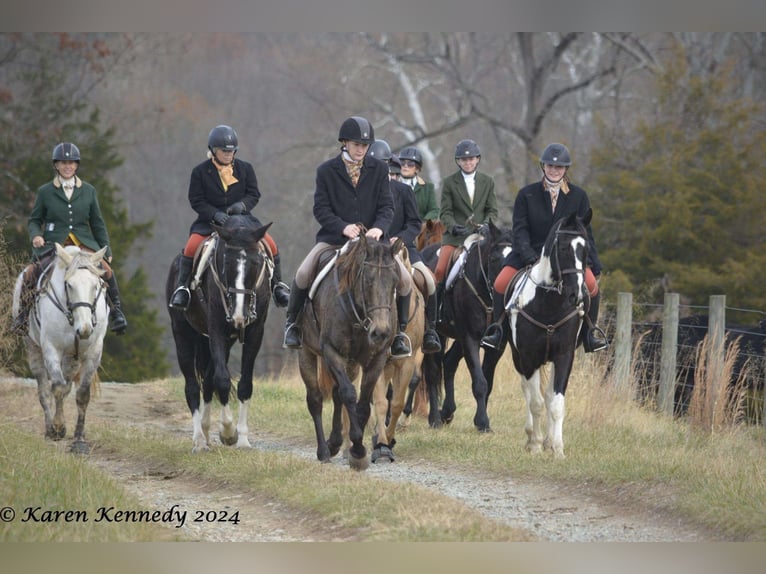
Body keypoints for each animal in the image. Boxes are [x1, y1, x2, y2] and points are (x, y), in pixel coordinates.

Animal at [12, 243, 109, 454]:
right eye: (69, 285)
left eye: (95, 285)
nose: (85, 329)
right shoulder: (51, 348)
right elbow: (56, 388)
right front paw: (57, 427)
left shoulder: (93, 352)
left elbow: (82, 395)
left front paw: (79, 440)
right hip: (33, 348)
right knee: (44, 390)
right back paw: (50, 428)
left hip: (71, 359)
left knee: (67, 387)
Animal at [166, 216, 274, 454]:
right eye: (226, 263)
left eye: (256, 263)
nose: (239, 314)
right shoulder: (216, 329)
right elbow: (222, 381)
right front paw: (228, 432)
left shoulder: (255, 332)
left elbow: (244, 384)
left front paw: (242, 439)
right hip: (182, 334)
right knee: (192, 386)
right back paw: (198, 439)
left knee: (207, 381)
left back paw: (205, 433)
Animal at [296, 236, 402, 470]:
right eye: (367, 281)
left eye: (395, 282)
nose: (380, 332)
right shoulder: (332, 352)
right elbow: (349, 395)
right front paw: (358, 449)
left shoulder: (376, 359)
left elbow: (362, 403)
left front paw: (357, 450)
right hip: (306, 353)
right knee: (315, 400)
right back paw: (324, 451)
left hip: (351, 364)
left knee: (337, 396)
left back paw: (335, 443)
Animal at [420, 223, 516, 434]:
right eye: (494, 258)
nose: (504, 290)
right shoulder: (470, 338)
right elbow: (479, 382)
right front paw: (482, 422)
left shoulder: (496, 345)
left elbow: (487, 381)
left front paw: (482, 421)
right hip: (435, 334)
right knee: (432, 372)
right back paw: (435, 419)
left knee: (448, 362)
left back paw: (447, 412)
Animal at [486, 208, 592, 460]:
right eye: (562, 248)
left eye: (586, 250)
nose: (577, 295)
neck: (549, 304)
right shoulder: (528, 356)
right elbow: (535, 402)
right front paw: (534, 444)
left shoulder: (564, 357)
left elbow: (556, 403)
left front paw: (557, 449)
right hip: (518, 357)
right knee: (527, 390)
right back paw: (531, 436)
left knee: (549, 396)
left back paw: (548, 441)